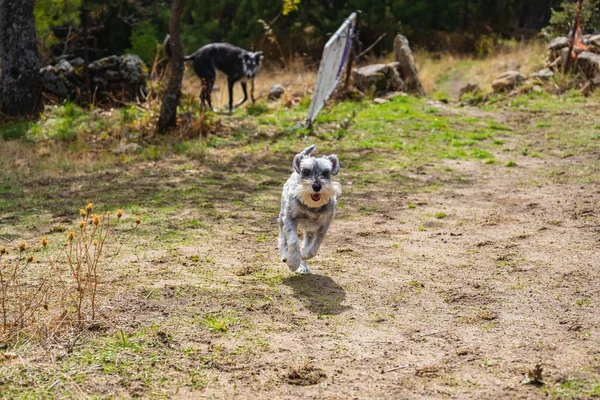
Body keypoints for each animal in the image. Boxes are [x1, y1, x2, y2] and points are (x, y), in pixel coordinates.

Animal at [278, 145, 342, 276]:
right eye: (306, 171)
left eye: (325, 172)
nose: (316, 186)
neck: (312, 206)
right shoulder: (290, 219)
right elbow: (292, 240)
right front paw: (293, 262)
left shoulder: (324, 225)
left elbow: (314, 246)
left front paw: (304, 255)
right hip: (282, 219)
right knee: (283, 238)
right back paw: (285, 255)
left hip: (310, 229)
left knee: (306, 242)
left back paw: (304, 266)